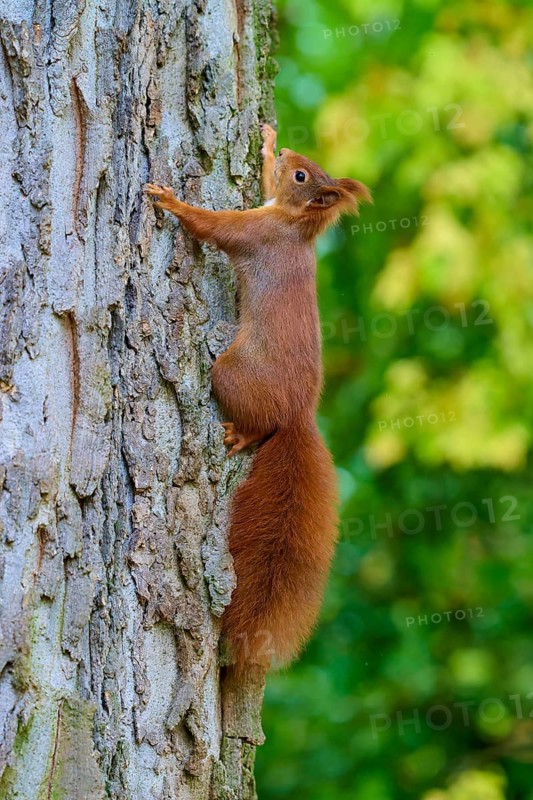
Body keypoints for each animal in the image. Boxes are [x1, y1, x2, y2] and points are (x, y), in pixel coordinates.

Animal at [144, 124, 371, 673]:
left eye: (302, 177)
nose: (287, 151)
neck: (293, 224)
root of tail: (299, 416)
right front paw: (267, 141)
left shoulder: (253, 232)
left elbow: (212, 227)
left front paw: (169, 201)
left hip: (233, 373)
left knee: (259, 424)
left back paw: (242, 434)